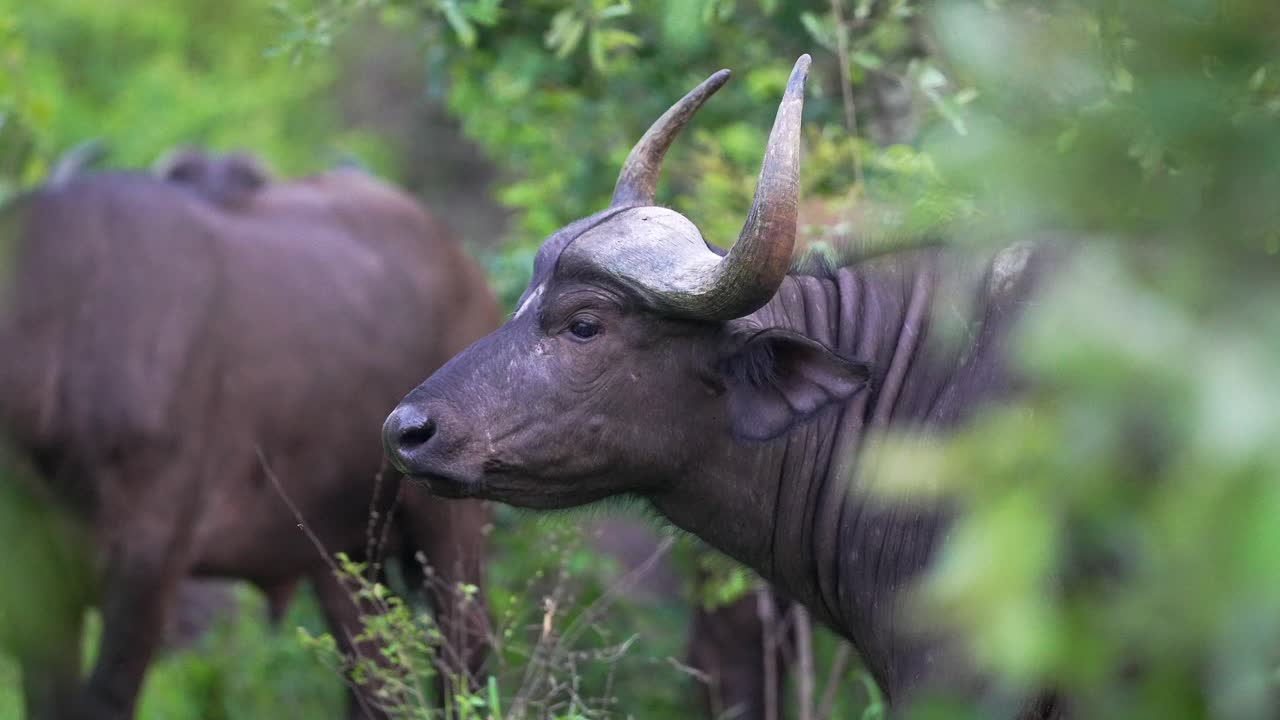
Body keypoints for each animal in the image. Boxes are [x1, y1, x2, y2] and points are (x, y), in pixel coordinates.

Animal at [0, 155, 497, 719]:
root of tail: (466, 268)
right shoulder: (32, 580)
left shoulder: (148, 562)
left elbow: (105, 697)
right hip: (341, 552)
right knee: (372, 671)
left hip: (449, 525)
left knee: (463, 645)